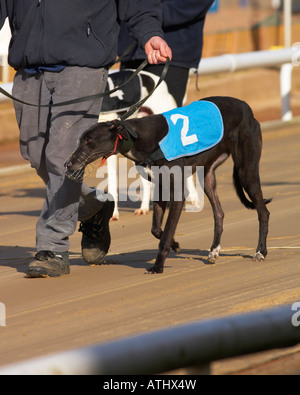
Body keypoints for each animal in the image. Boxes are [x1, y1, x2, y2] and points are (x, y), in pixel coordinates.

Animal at [66, 97, 272, 274]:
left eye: (89, 140)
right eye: (80, 139)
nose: (68, 164)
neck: (141, 137)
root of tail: (246, 107)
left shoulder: (177, 193)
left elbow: (164, 235)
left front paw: (158, 266)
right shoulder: (160, 188)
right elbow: (157, 229)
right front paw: (175, 244)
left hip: (246, 171)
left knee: (263, 212)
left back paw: (260, 251)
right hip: (208, 176)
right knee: (219, 213)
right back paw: (214, 250)